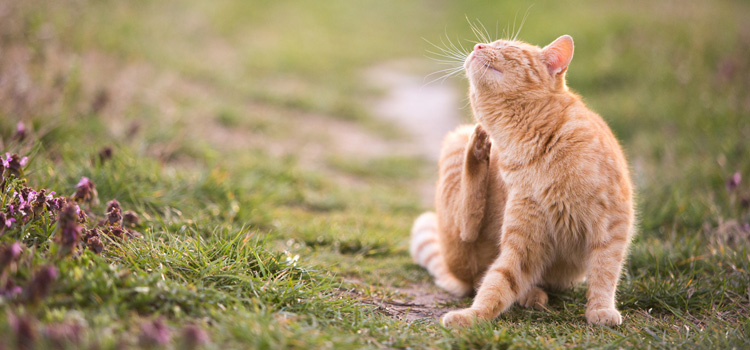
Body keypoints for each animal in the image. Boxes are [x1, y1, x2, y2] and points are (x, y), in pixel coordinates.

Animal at [412, 34, 636, 326]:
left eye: (505, 46)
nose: (478, 47)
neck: (528, 143)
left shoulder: (612, 224)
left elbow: (604, 271)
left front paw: (600, 310)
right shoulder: (523, 240)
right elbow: (497, 282)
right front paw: (472, 316)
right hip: (456, 144)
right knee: (468, 235)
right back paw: (479, 149)